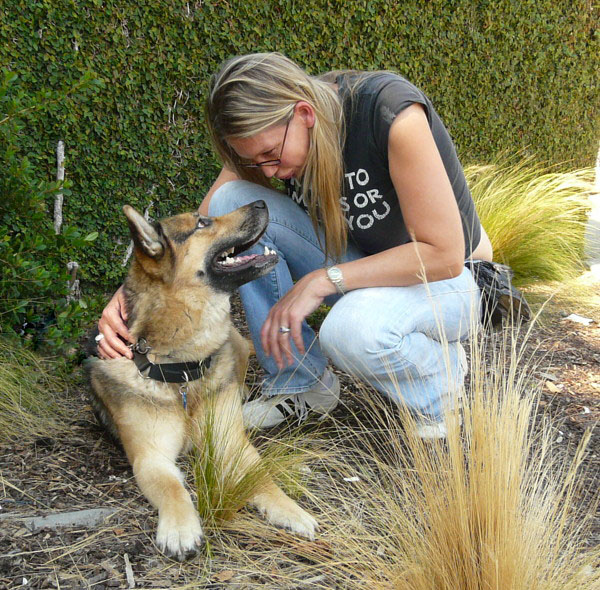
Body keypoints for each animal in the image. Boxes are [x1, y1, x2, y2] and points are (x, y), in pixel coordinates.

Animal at [86, 200, 317, 560]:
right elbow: (171, 487)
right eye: (202, 223)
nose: (263, 202)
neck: (180, 369)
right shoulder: (150, 458)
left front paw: (290, 510)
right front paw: (181, 529)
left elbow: (261, 477)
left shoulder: (232, 444)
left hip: (236, 348)